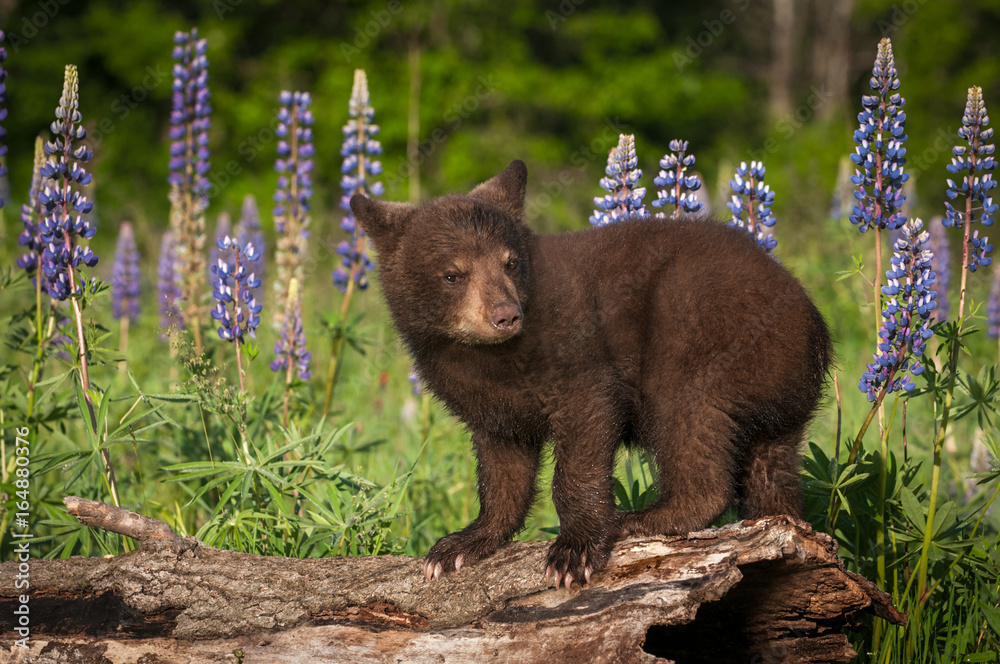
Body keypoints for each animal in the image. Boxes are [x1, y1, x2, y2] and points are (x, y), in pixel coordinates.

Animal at [350, 160, 831, 589]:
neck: (492, 357)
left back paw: (643, 518)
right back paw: (780, 520)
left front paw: (574, 550)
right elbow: (502, 465)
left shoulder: (574, 351)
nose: (505, 315)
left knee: (686, 412)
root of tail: (814, 326)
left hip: (702, 322)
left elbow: (586, 423)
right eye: (453, 274)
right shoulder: (491, 402)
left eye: (509, 263)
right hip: (779, 395)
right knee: (773, 463)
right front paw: (462, 544)